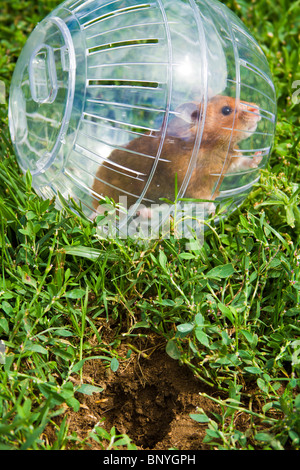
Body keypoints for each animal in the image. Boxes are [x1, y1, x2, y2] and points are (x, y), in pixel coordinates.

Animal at [91, 95, 260, 217]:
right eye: (226, 110)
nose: (258, 109)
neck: (213, 146)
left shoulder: (229, 158)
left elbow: (243, 162)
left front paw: (258, 157)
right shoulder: (189, 184)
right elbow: (204, 199)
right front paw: (217, 210)